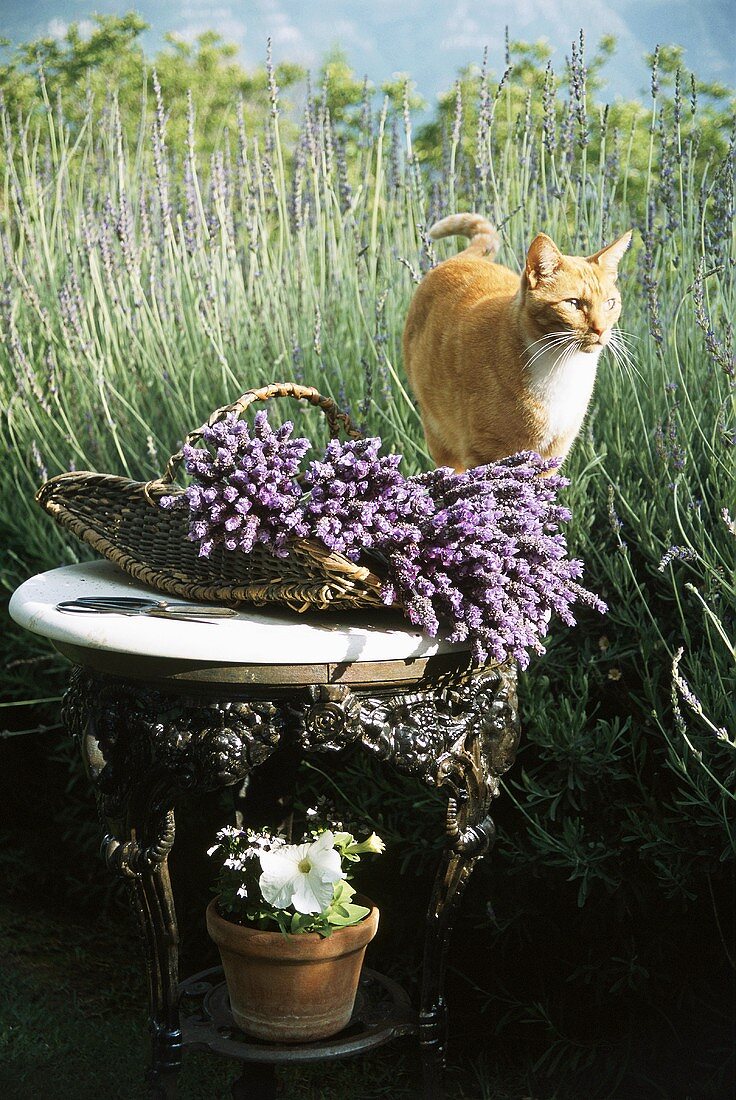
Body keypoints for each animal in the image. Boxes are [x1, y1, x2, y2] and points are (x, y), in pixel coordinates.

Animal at [402, 215, 633, 473]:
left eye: (610, 303)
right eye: (573, 303)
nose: (601, 329)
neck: (561, 367)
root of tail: (462, 258)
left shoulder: (552, 457)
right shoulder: (484, 456)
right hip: (440, 437)